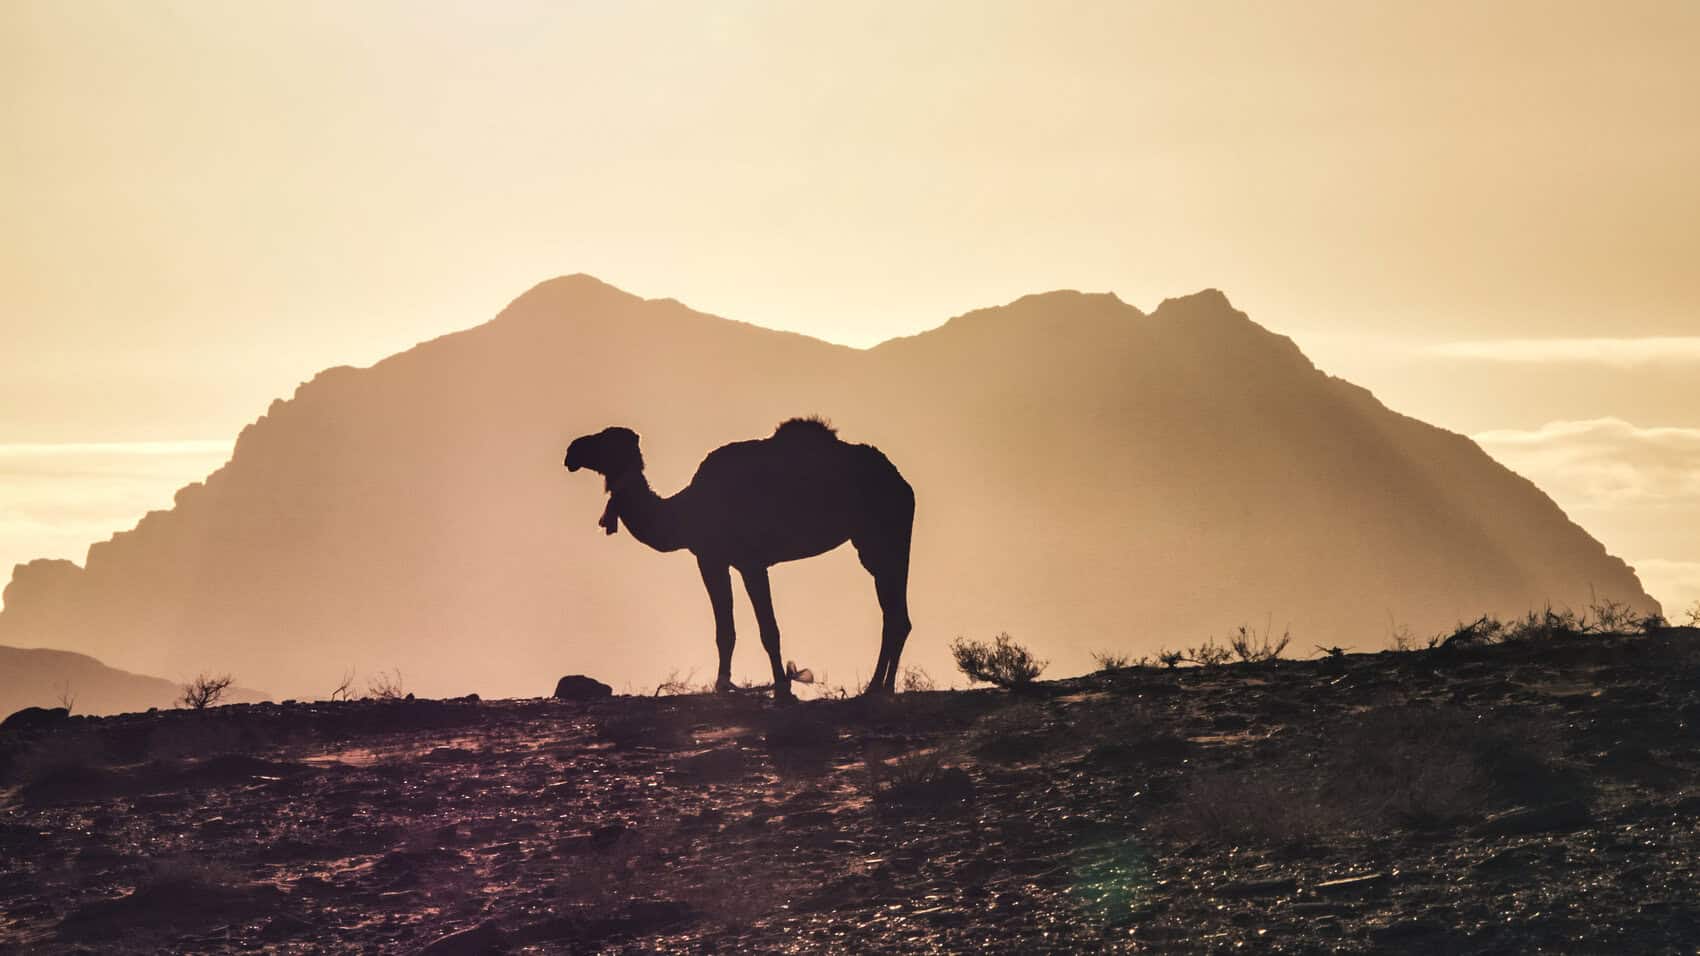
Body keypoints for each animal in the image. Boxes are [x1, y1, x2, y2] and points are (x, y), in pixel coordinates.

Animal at [564, 417, 914, 699]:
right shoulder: (713, 559)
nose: (572, 451)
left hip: (887, 537)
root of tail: (902, 483)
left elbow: (768, 629)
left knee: (895, 614)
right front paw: (724, 686)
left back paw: (880, 688)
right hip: (876, 543)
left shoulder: (748, 561)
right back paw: (879, 687)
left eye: (605, 439)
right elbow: (726, 631)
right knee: (895, 615)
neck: (685, 511)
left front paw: (783, 691)